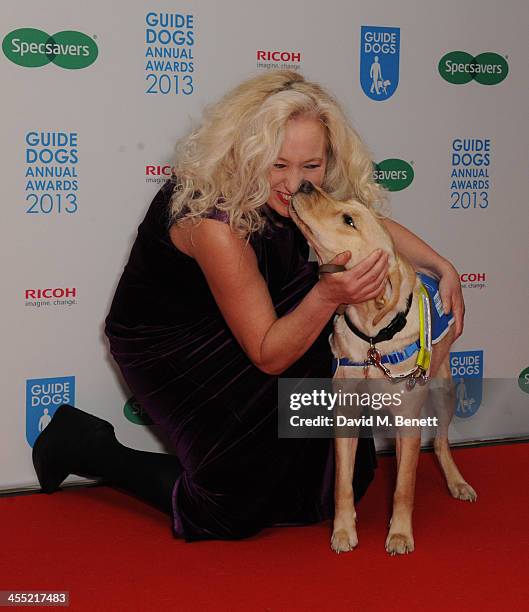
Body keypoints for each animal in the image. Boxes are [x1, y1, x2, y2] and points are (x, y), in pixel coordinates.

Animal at [290, 180, 476, 556]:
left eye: (349, 220)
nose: (304, 184)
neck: (373, 337)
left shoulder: (407, 420)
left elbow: (403, 487)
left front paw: (400, 534)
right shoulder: (345, 414)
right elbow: (342, 484)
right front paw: (343, 530)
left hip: (443, 389)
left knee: (440, 442)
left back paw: (457, 482)